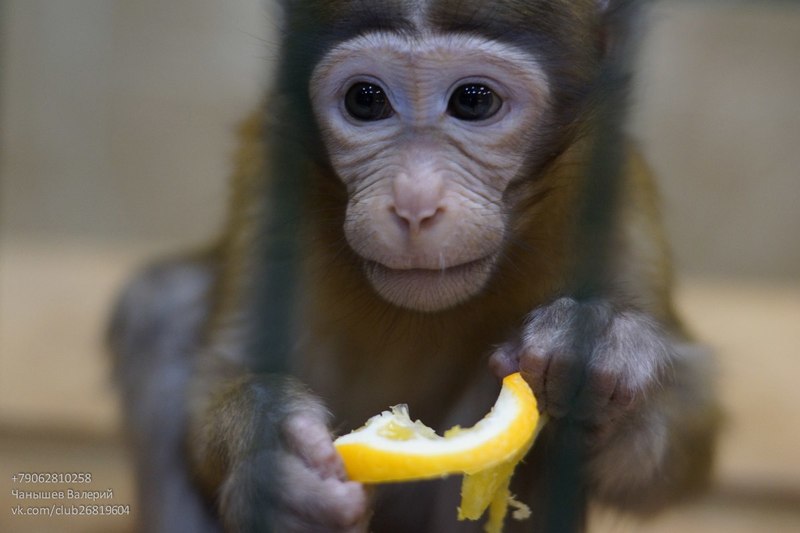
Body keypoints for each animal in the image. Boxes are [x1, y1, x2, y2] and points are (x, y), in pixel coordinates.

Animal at [108, 1, 720, 532]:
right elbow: (224, 370)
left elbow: (670, 459)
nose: (414, 203)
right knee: (158, 308)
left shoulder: (614, 186)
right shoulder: (271, 168)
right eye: (366, 100)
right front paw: (267, 464)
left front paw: (603, 351)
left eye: (473, 101)